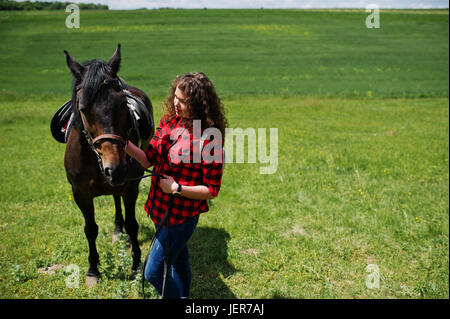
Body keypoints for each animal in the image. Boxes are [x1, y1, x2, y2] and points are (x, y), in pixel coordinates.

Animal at [62, 43, 155, 286]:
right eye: (83, 109)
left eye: (122, 104)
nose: (116, 168)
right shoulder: (80, 193)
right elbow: (90, 229)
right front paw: (93, 270)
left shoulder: (130, 186)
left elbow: (133, 224)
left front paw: (135, 264)